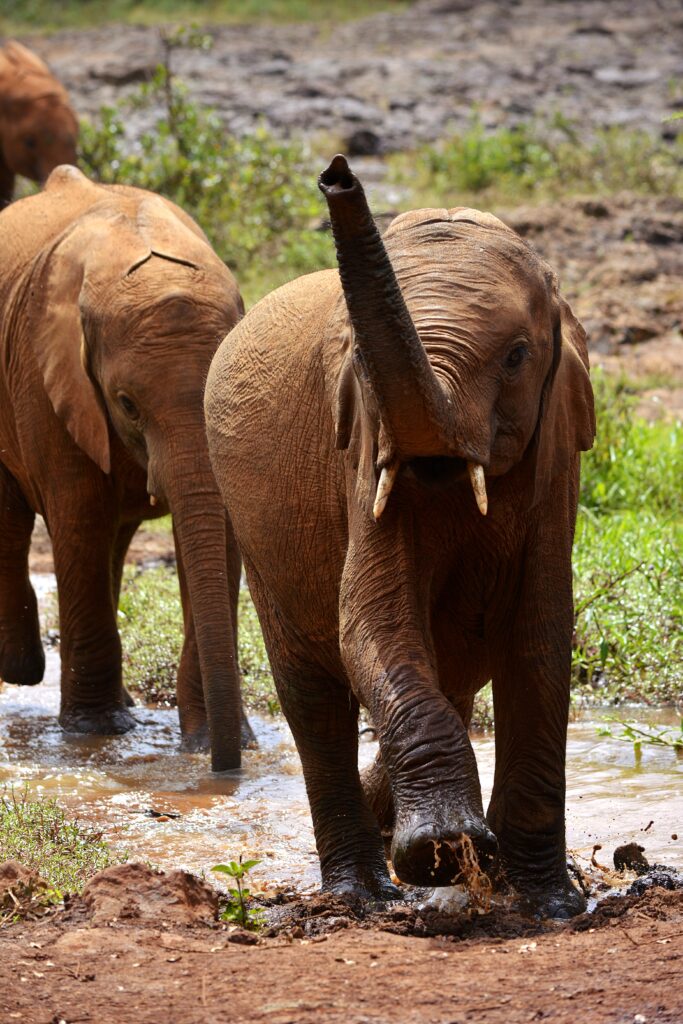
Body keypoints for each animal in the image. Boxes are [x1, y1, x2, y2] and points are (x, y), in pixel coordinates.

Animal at [0, 164, 251, 772]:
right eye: (127, 403)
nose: (225, 768)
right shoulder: (47, 377)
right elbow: (80, 518)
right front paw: (95, 733)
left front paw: (211, 738)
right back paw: (23, 670)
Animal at [205, 155, 596, 916]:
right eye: (358, 359)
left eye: (516, 356)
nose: (337, 173)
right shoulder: (361, 446)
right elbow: (371, 621)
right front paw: (443, 852)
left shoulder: (554, 455)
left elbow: (540, 638)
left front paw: (551, 903)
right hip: (257, 535)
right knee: (314, 700)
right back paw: (361, 894)